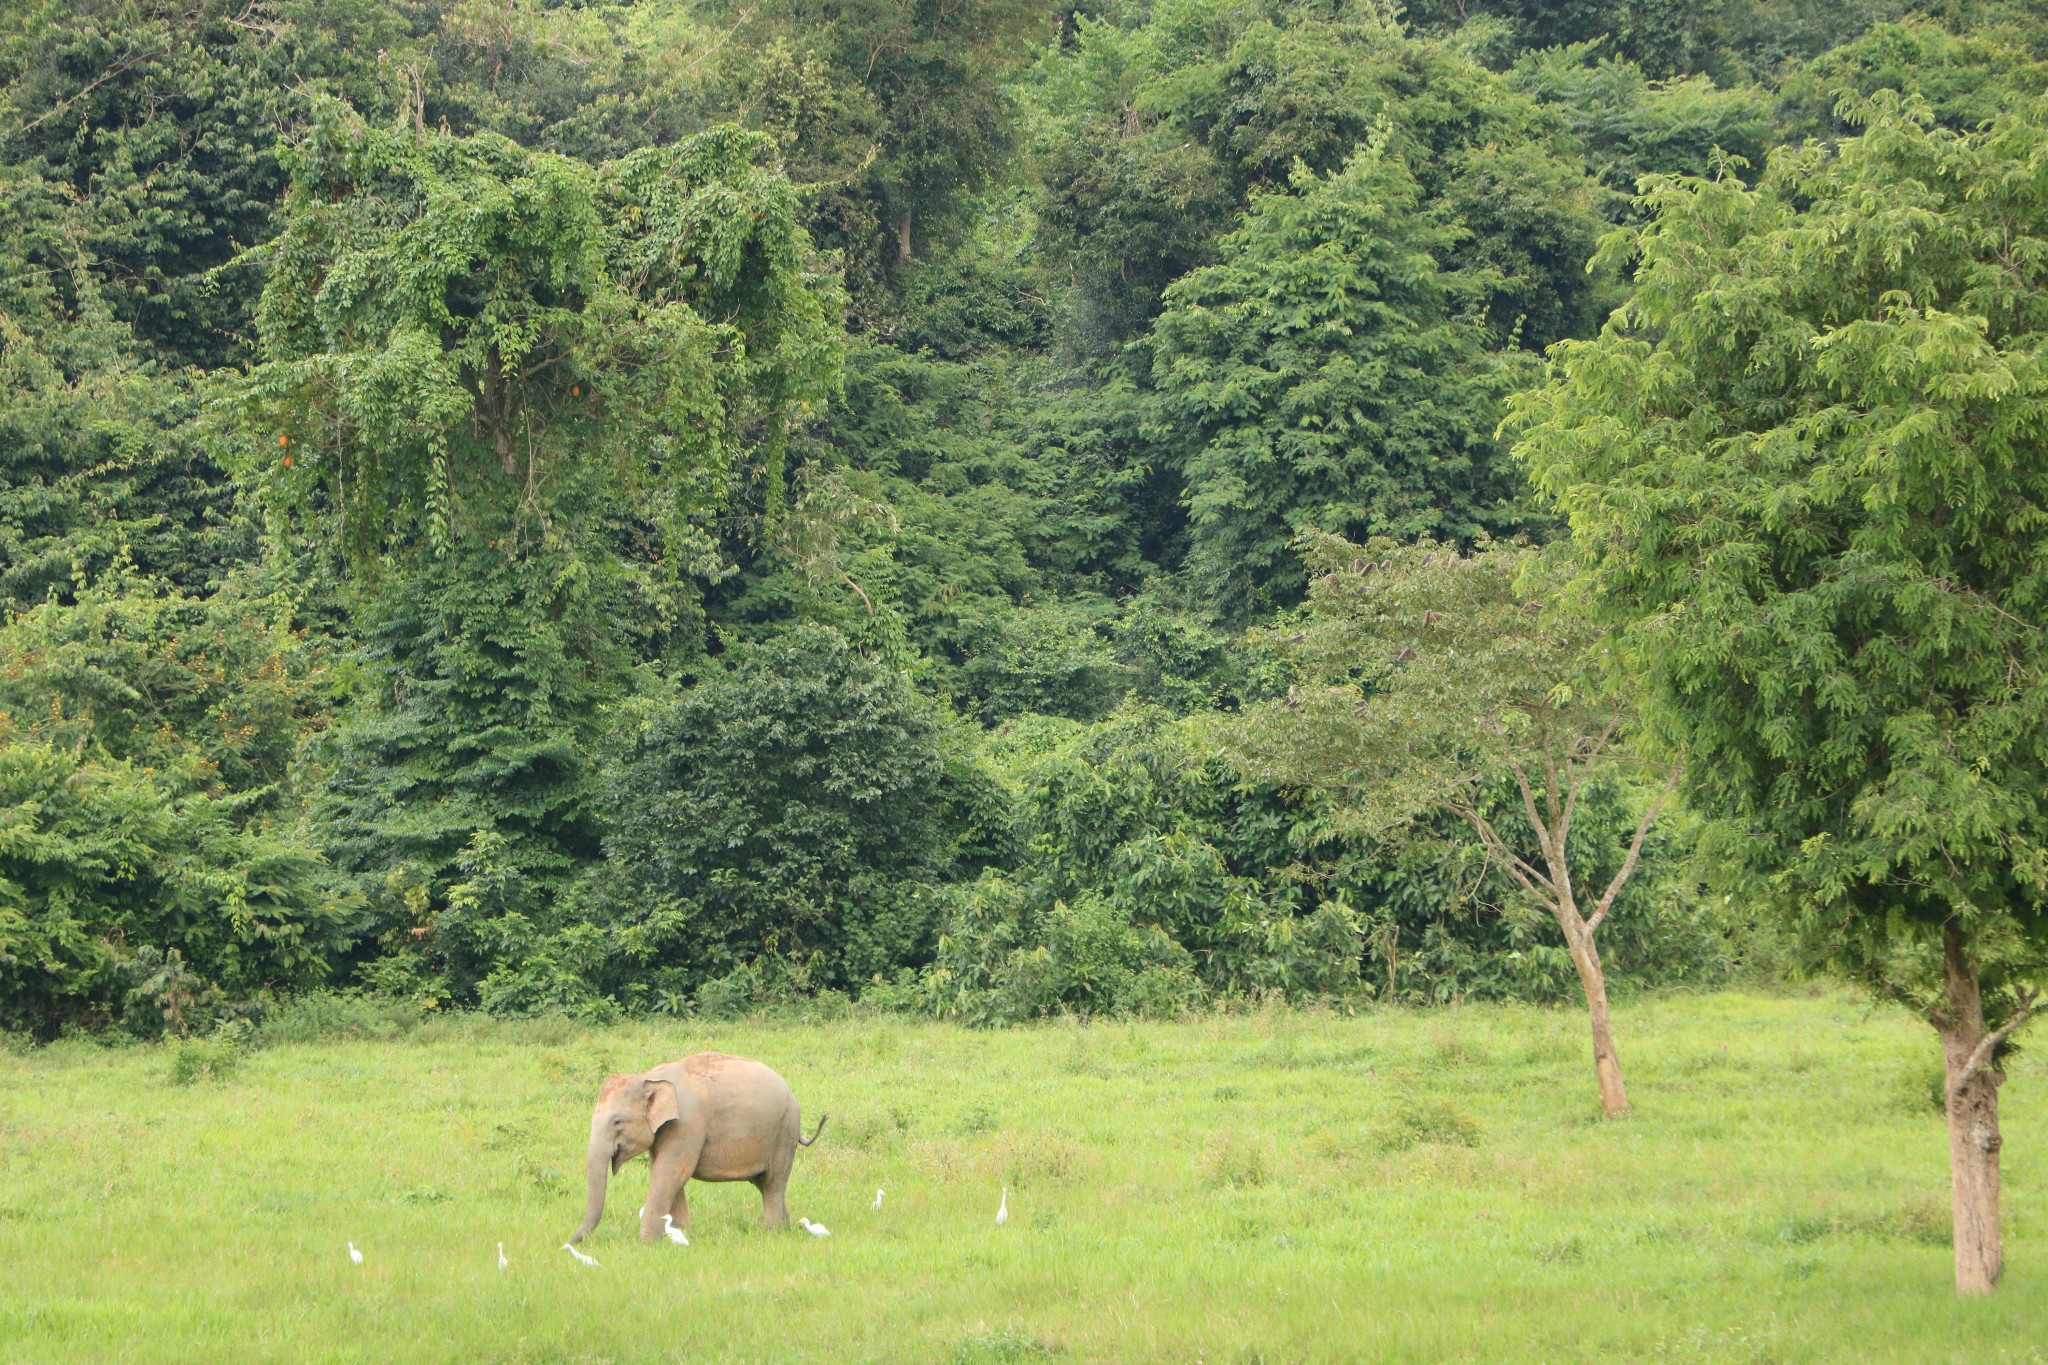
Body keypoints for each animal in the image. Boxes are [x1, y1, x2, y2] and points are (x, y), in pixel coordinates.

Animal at [569, 1055, 823, 1244]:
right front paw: (681, 1234)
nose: (568, 1243)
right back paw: (788, 1228)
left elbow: (671, 1171)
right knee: (764, 1183)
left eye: (617, 1122)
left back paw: (774, 1233)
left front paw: (647, 1243)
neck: (648, 1078)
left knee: (773, 1184)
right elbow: (665, 1172)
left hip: (784, 1132)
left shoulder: (687, 1123)